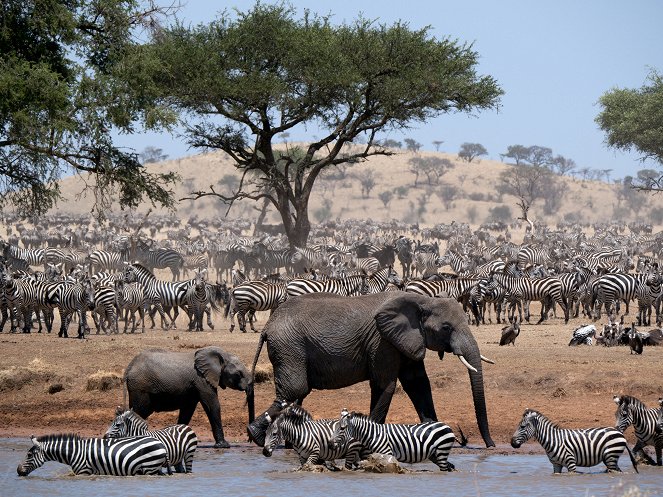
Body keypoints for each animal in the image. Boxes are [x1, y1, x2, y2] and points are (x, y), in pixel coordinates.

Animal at [17, 432, 170, 474]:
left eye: (29, 455)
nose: (18, 471)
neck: (74, 452)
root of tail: (161, 444)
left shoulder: (84, 471)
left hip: (149, 467)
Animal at [124, 346, 254, 448]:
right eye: (238, 374)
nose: (249, 440)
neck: (221, 355)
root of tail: (129, 367)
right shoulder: (201, 380)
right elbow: (212, 405)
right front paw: (224, 445)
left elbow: (187, 411)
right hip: (140, 388)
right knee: (139, 412)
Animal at [250, 290, 498, 446]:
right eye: (446, 327)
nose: (491, 445)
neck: (422, 300)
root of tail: (267, 326)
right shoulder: (382, 341)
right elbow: (385, 385)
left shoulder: (406, 339)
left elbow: (418, 384)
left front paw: (433, 433)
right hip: (290, 347)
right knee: (295, 390)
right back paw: (256, 436)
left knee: (295, 395)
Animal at [510, 408, 640, 474]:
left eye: (522, 426)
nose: (512, 443)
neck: (553, 440)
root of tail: (619, 433)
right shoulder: (556, 465)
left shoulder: (571, 463)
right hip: (610, 458)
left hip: (611, 456)